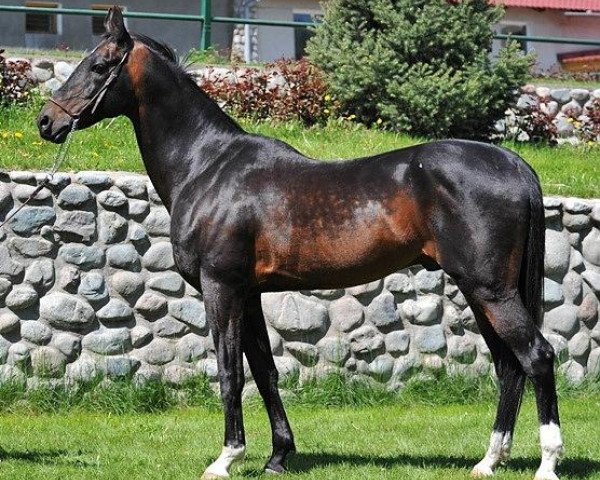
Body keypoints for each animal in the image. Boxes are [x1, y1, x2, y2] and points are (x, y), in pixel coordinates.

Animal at [37, 7, 564, 480]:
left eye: (100, 65)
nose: (46, 121)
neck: (208, 167)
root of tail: (514, 163)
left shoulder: (221, 287)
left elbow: (229, 371)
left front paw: (226, 460)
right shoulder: (248, 293)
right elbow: (264, 371)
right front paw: (277, 457)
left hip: (490, 290)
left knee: (536, 356)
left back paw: (547, 463)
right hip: (480, 290)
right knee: (508, 365)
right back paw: (488, 461)